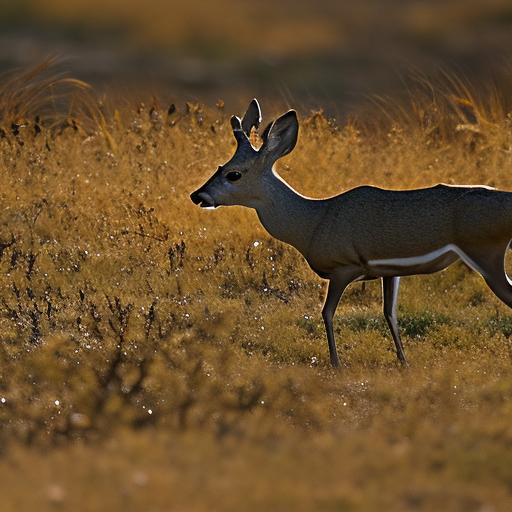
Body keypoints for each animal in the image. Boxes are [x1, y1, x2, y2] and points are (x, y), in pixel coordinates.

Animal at [190, 98, 512, 366]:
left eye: (234, 174)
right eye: (219, 165)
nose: (197, 195)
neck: (312, 222)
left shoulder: (343, 267)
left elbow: (327, 312)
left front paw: (336, 363)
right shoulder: (388, 271)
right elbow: (389, 313)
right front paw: (403, 362)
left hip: (486, 252)